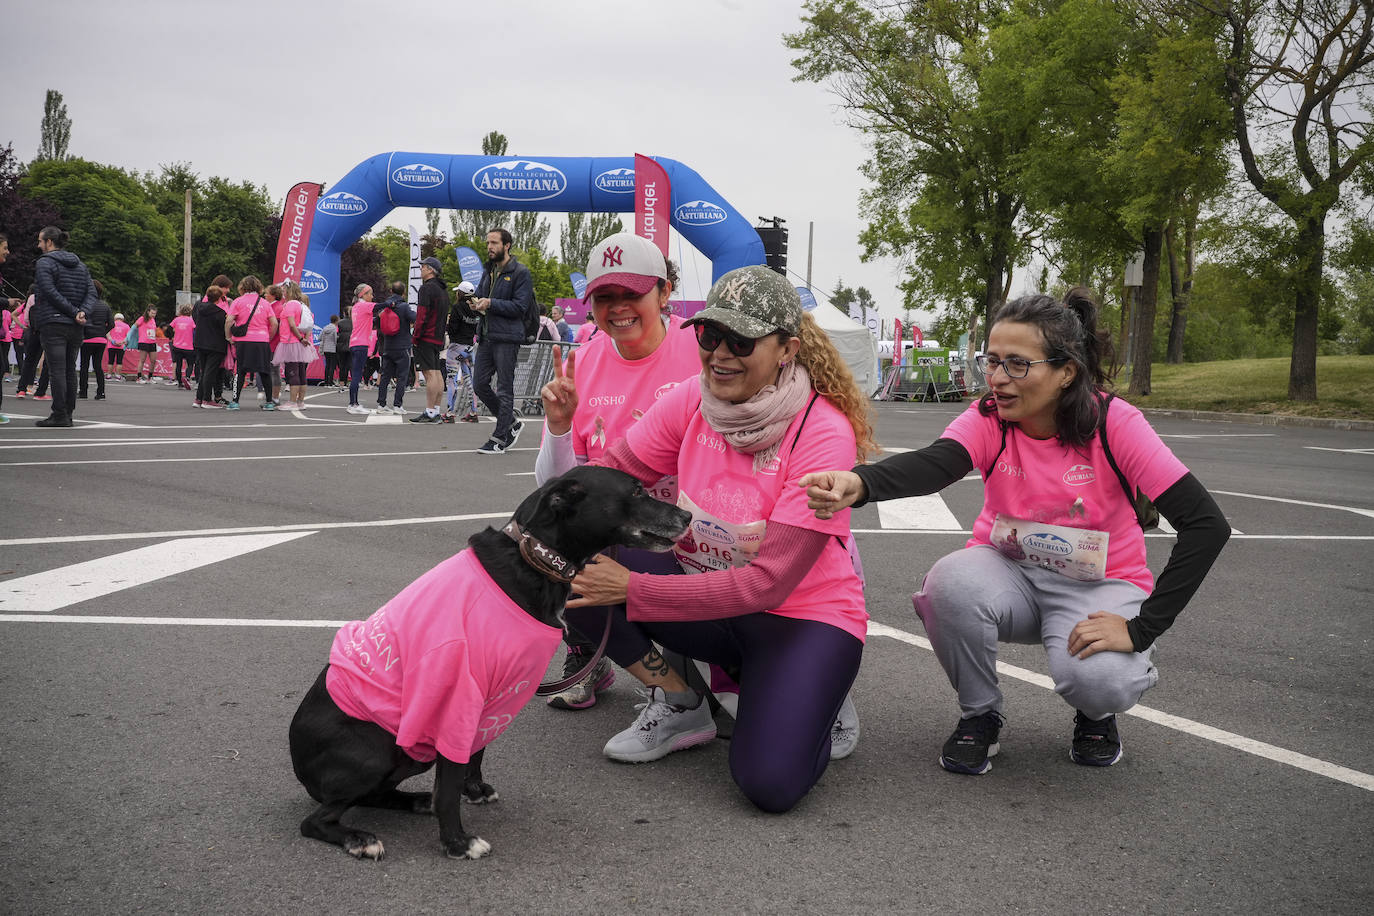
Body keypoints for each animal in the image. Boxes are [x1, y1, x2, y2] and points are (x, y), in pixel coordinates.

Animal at [294, 469, 692, 862]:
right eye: (636, 491)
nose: (687, 516)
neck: (533, 560)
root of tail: (299, 765)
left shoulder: (489, 699)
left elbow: (473, 754)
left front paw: (473, 790)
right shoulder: (458, 699)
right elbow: (450, 782)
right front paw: (457, 842)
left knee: (372, 796)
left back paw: (417, 801)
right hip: (375, 752)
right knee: (314, 821)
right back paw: (358, 838)